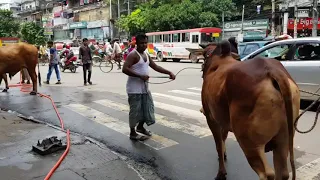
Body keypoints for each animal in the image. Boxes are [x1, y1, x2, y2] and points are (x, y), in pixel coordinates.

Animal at [200, 40, 300, 180]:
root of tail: (273, 71)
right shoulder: (223, 121)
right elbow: (223, 140)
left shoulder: (211, 119)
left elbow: (219, 145)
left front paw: (221, 173)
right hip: (284, 139)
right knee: (283, 172)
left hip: (249, 142)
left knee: (267, 173)